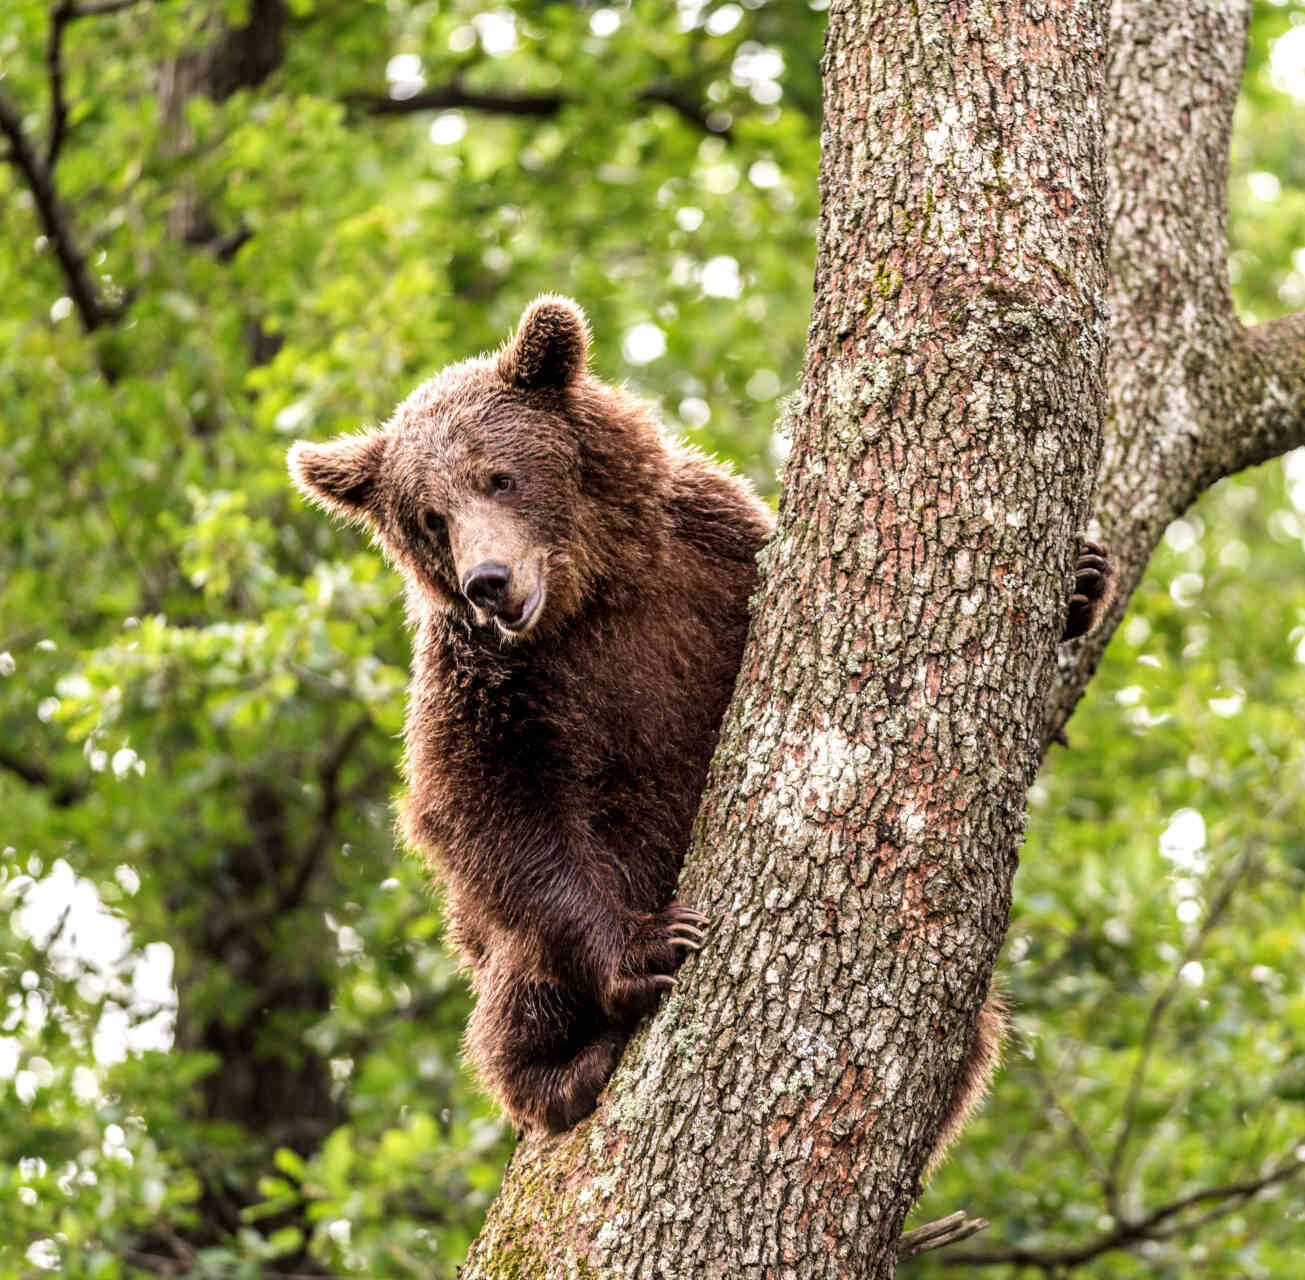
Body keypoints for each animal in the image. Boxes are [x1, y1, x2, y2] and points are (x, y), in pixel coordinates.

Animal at [288, 302, 1111, 1158]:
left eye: (497, 475)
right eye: (429, 517)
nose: (488, 580)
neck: (591, 592)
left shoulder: (715, 557)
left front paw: (1082, 580)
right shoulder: (488, 680)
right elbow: (489, 810)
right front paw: (647, 946)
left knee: (977, 1031)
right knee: (513, 980)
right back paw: (561, 1069)